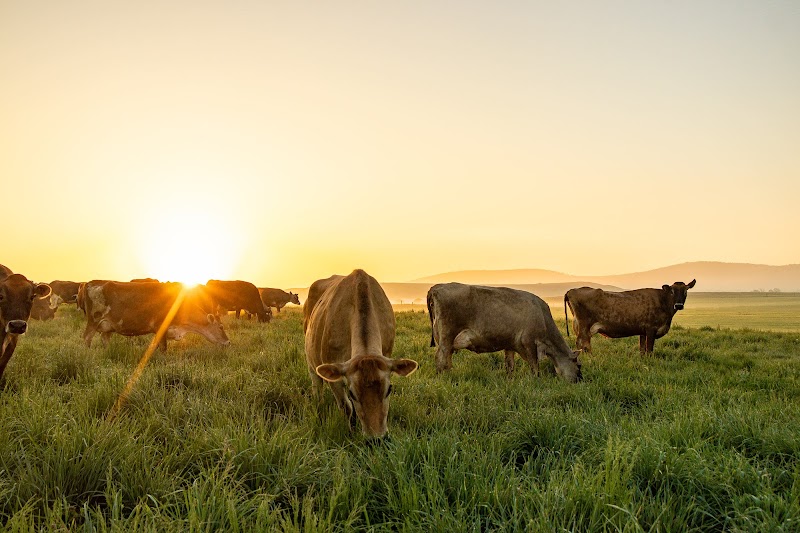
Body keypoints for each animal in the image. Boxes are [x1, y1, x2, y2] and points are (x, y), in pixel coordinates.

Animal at [82, 280, 230, 350]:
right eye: (221, 327)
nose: (228, 342)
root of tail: (91, 283)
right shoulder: (160, 327)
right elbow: (163, 348)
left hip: (108, 327)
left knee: (104, 339)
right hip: (93, 321)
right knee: (86, 338)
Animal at [305, 269, 418, 439]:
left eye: (389, 389)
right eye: (352, 393)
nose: (376, 439)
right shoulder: (334, 373)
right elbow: (346, 407)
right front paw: (351, 432)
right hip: (311, 362)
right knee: (317, 389)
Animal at [427, 283, 582, 383]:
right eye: (579, 365)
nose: (580, 380)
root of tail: (435, 288)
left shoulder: (510, 344)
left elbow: (510, 365)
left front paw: (510, 380)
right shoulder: (529, 343)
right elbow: (534, 365)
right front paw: (536, 380)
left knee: (447, 359)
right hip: (447, 337)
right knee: (440, 358)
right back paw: (443, 379)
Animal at [564, 280, 696, 354]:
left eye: (685, 291)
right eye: (672, 291)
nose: (678, 305)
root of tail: (571, 290)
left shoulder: (643, 331)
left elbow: (642, 350)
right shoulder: (651, 329)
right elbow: (649, 350)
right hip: (584, 326)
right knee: (582, 344)